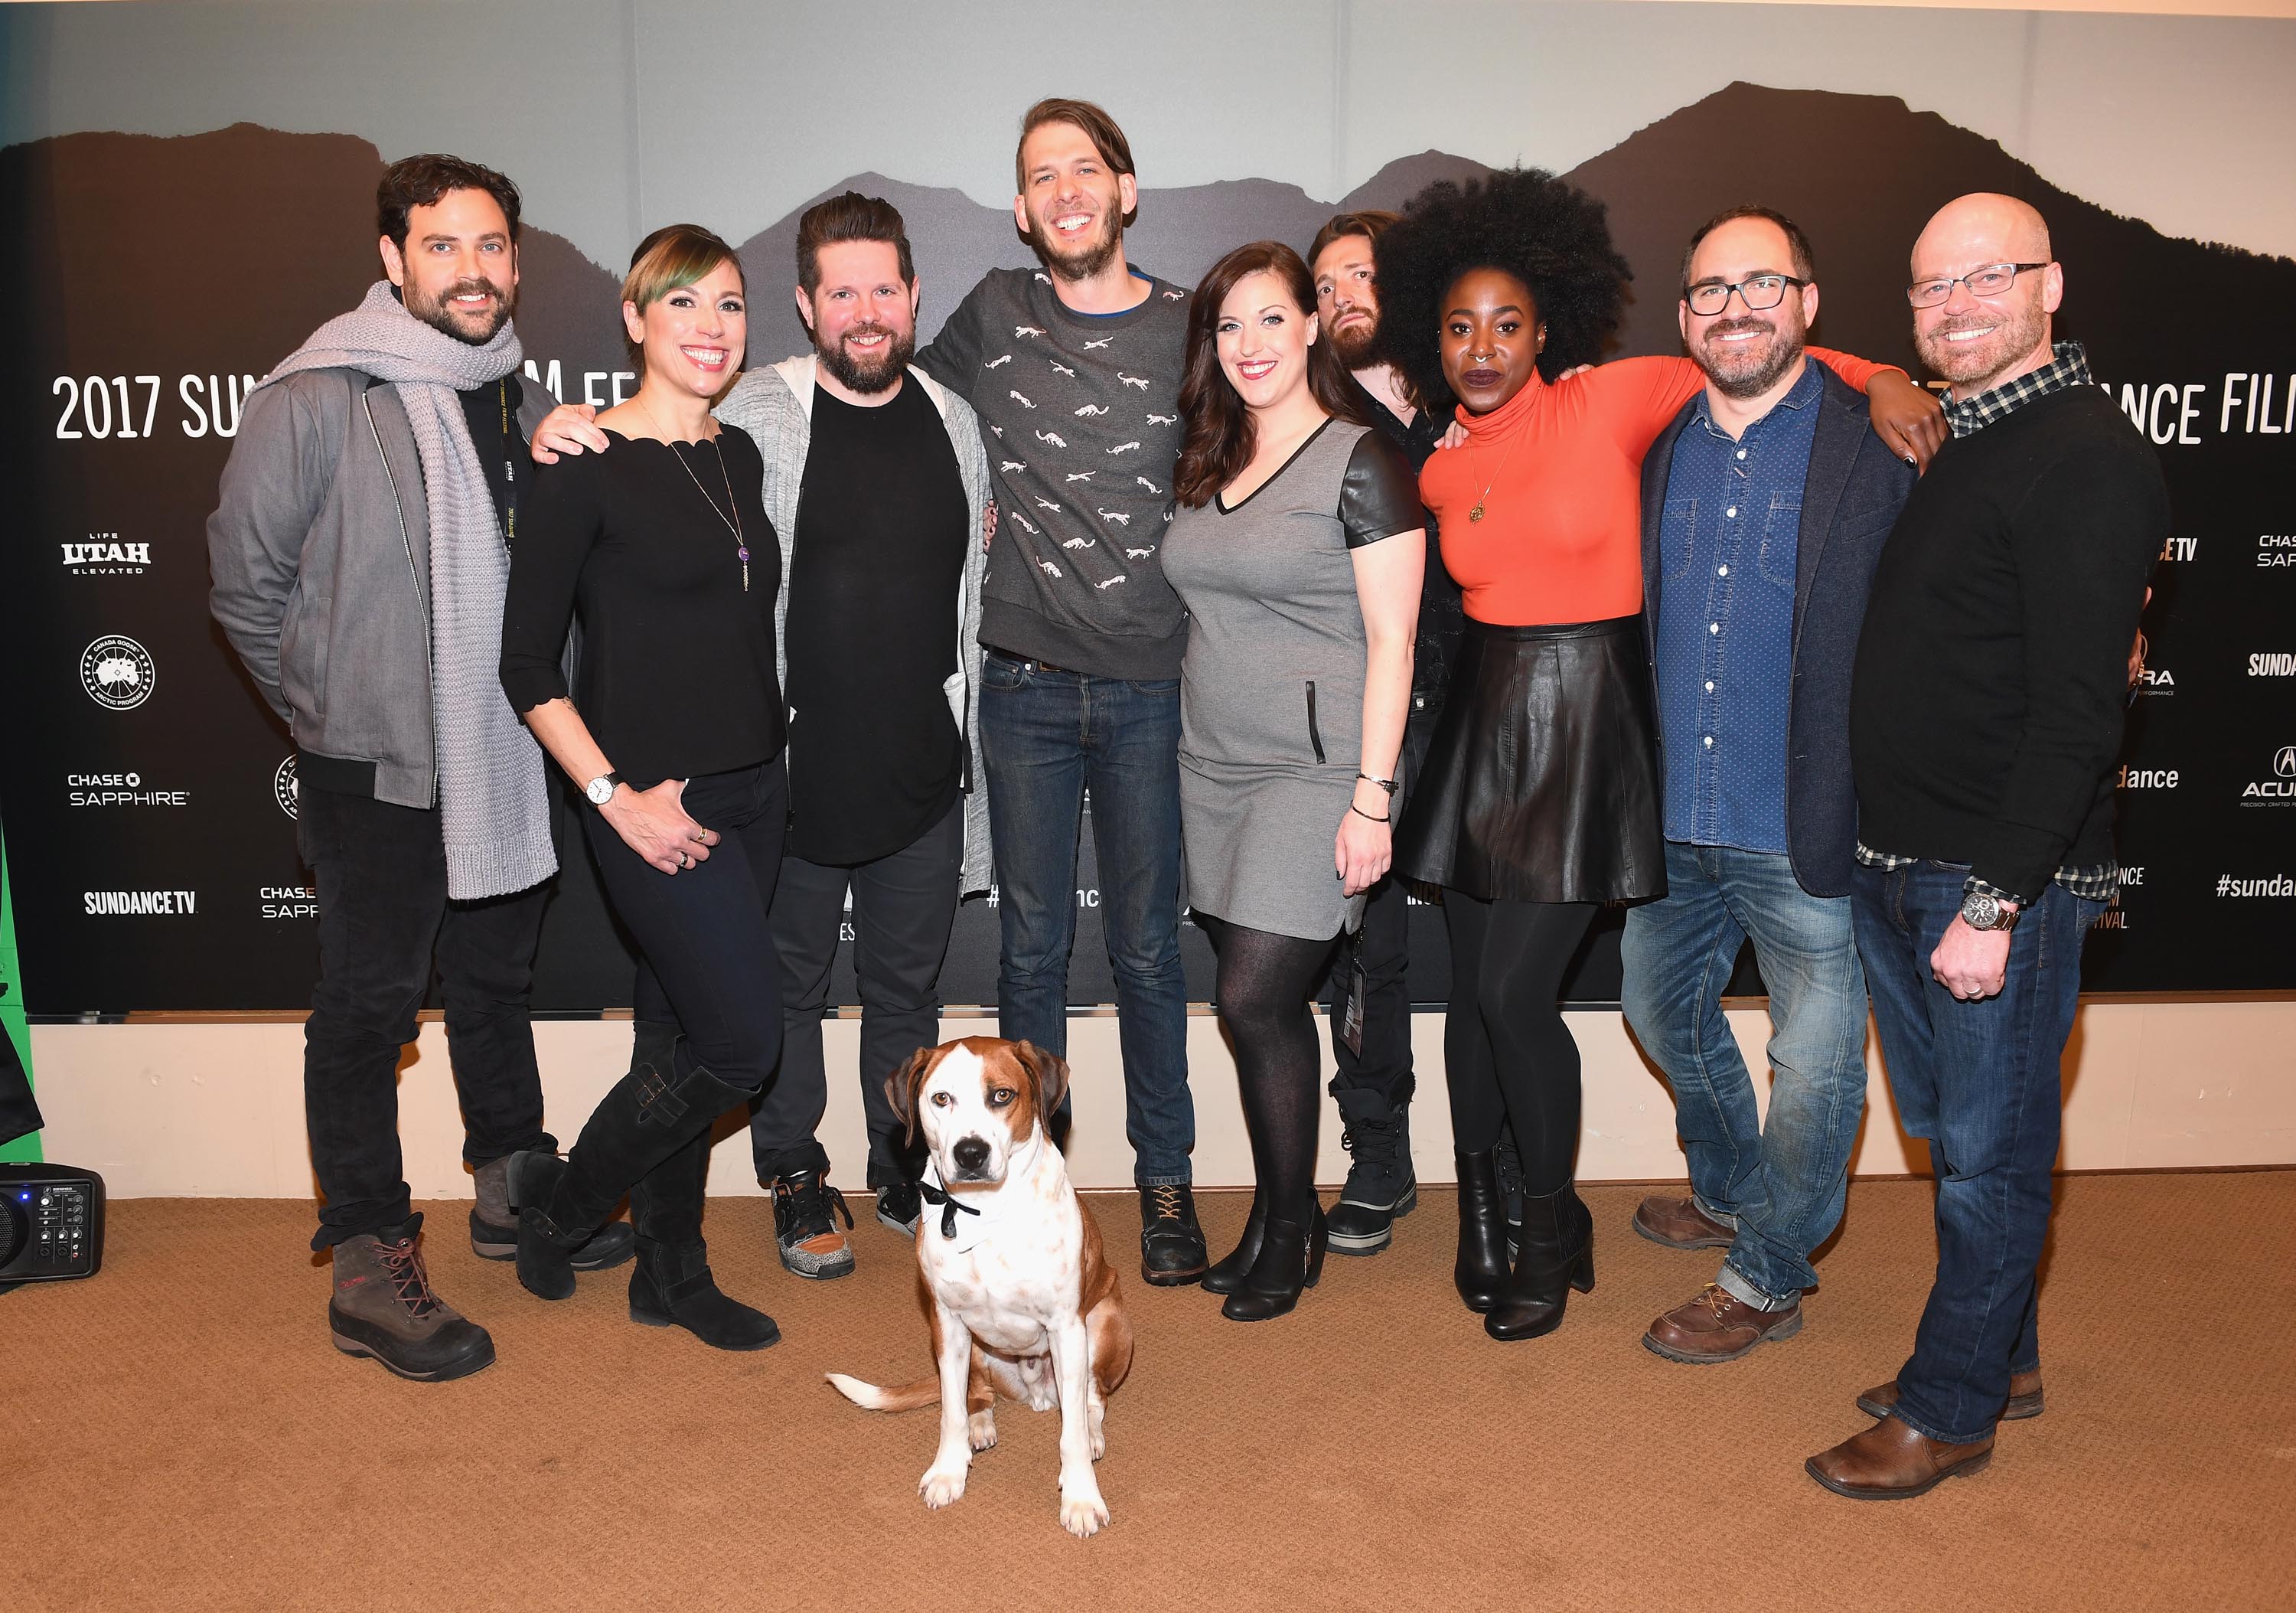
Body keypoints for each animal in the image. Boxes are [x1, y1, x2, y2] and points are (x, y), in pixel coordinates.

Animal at [836, 1038, 1139, 1543]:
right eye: (941, 1098)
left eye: (1002, 1095)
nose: (970, 1153)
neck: (985, 1214)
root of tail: (1037, 1392)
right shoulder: (947, 1324)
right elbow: (952, 1413)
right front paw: (948, 1471)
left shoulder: (1067, 1327)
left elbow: (1072, 1435)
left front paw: (1081, 1498)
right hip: (974, 1349)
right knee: (978, 1396)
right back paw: (980, 1428)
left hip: (1106, 1323)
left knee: (1090, 1401)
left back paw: (1092, 1431)